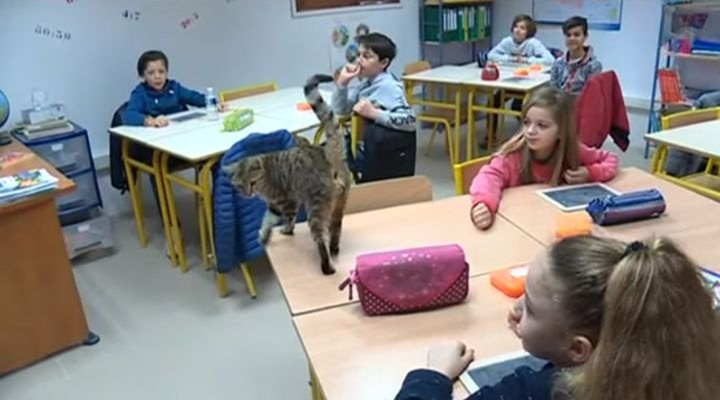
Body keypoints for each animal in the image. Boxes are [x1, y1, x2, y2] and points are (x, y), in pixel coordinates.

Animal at [224, 74, 350, 276]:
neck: (265, 173)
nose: (248, 194)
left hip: (316, 208)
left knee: (320, 238)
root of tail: (326, 154)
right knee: (336, 228)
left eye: (252, 182)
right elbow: (267, 219)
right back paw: (334, 249)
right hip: (338, 205)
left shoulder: (286, 200)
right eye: (239, 185)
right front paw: (265, 235)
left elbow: (285, 218)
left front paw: (283, 230)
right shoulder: (275, 204)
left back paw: (327, 265)